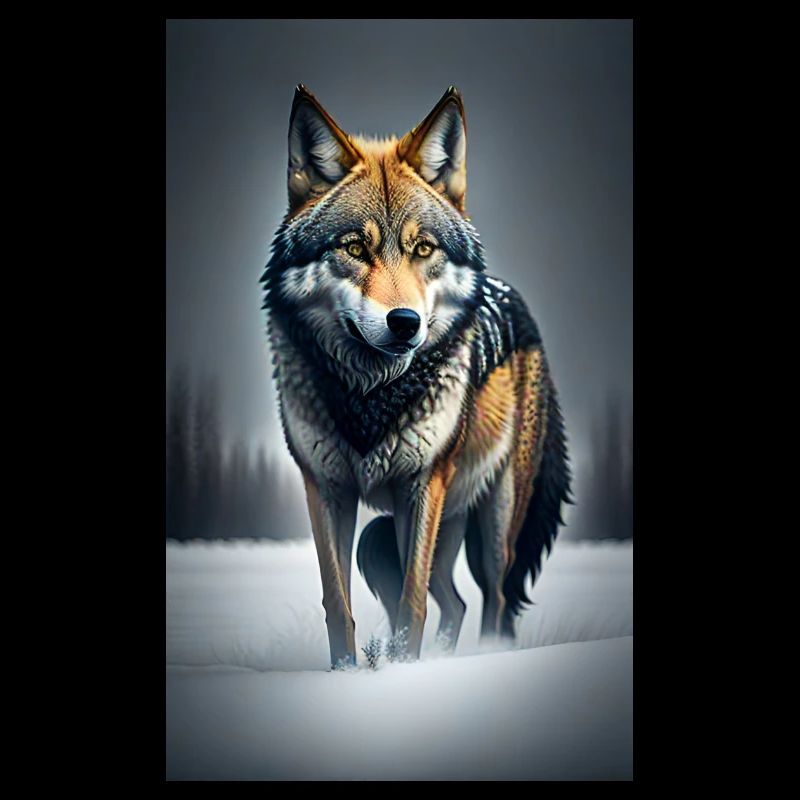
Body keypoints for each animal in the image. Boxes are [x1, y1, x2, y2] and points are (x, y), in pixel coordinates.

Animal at [262, 85, 572, 668]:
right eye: (354, 247)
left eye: (422, 248)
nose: (404, 323)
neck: (371, 396)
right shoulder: (325, 488)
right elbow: (338, 604)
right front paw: (347, 674)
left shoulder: (420, 486)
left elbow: (412, 604)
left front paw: (404, 672)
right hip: (393, 536)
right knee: (455, 601)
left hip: (493, 524)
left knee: (494, 600)